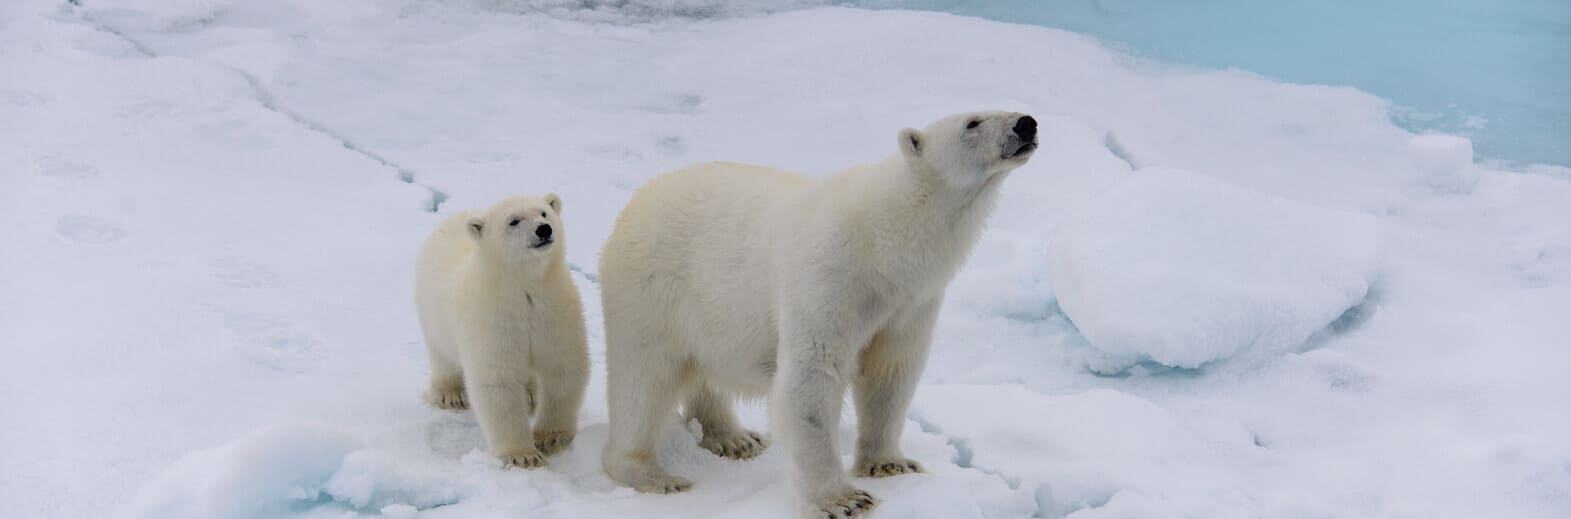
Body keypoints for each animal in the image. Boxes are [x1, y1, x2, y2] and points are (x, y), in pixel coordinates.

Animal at [411, 195, 590, 471]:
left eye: (544, 212)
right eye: (514, 221)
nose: (544, 230)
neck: (522, 290)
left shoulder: (553, 312)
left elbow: (563, 367)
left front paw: (551, 438)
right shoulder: (493, 321)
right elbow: (498, 380)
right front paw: (523, 455)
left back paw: (530, 393)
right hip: (432, 311)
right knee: (442, 354)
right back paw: (450, 394)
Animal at [593, 109, 1036, 515]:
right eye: (972, 122)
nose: (1026, 123)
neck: (884, 242)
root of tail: (638, 199)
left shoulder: (910, 303)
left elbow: (891, 372)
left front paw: (889, 464)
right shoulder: (830, 275)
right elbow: (813, 376)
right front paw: (844, 500)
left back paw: (735, 438)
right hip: (652, 291)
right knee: (644, 379)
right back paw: (652, 473)